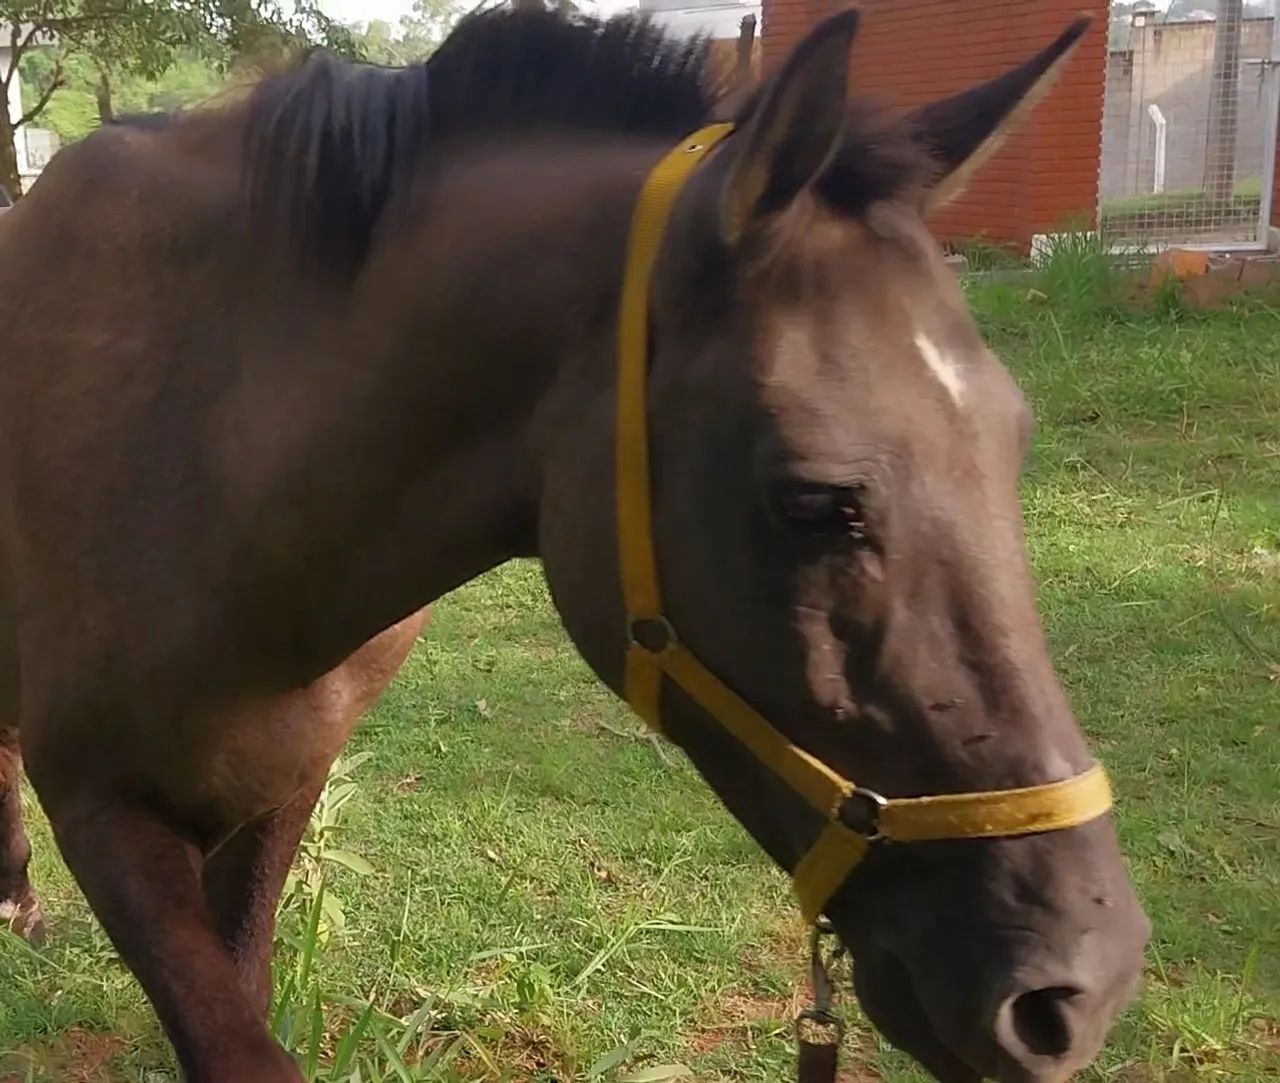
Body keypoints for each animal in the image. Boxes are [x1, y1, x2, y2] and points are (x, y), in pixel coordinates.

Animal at [0, 7, 1150, 1082]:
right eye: (816, 501)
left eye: (1013, 441)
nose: (1075, 988)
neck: (213, 435)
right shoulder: (102, 808)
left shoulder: (279, 791)